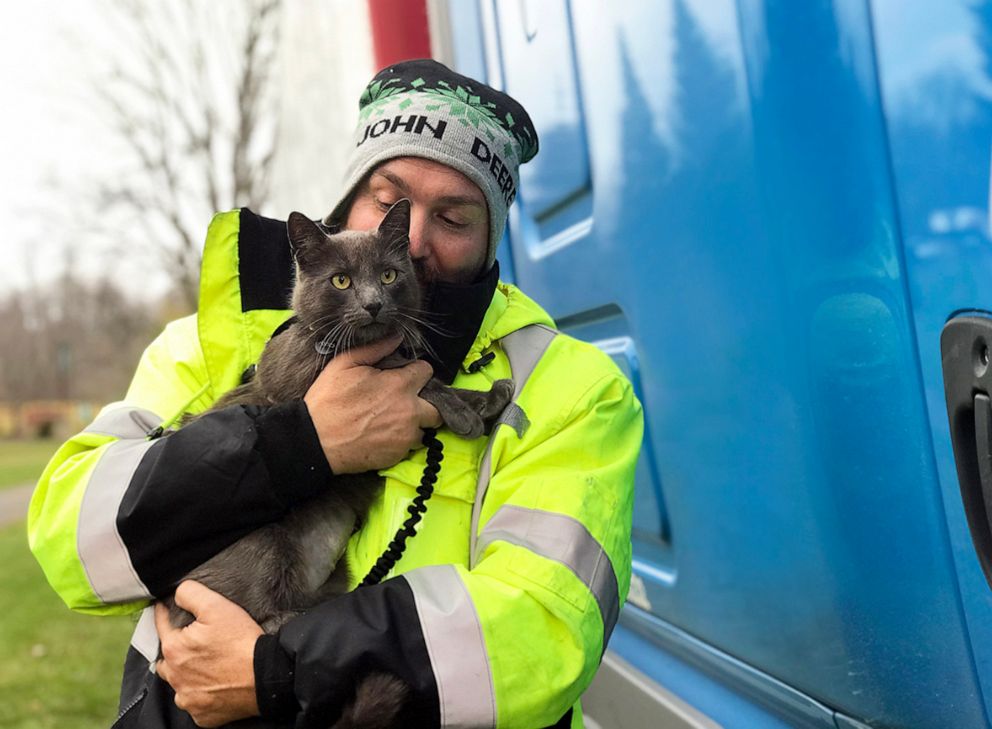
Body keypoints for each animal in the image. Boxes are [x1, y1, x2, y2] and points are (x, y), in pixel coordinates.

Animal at [163, 199, 512, 728]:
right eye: (341, 281)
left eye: (388, 275)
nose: (372, 304)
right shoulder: (300, 377)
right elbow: (411, 374)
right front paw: (462, 412)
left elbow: (420, 368)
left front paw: (488, 398)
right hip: (260, 547)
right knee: (256, 620)